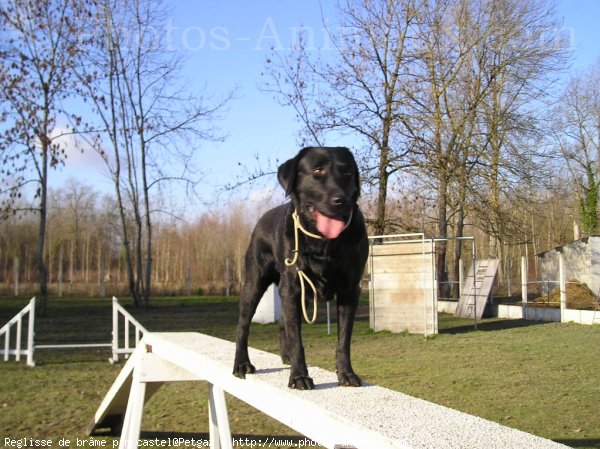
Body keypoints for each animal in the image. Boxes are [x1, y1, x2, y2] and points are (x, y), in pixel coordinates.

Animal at [232, 147, 368, 388]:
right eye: (317, 171)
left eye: (347, 172)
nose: (340, 200)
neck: (323, 241)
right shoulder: (293, 287)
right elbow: (297, 339)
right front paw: (299, 376)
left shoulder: (350, 289)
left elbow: (344, 339)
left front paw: (346, 373)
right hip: (254, 280)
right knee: (243, 324)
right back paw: (241, 364)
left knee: (282, 323)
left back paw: (285, 357)